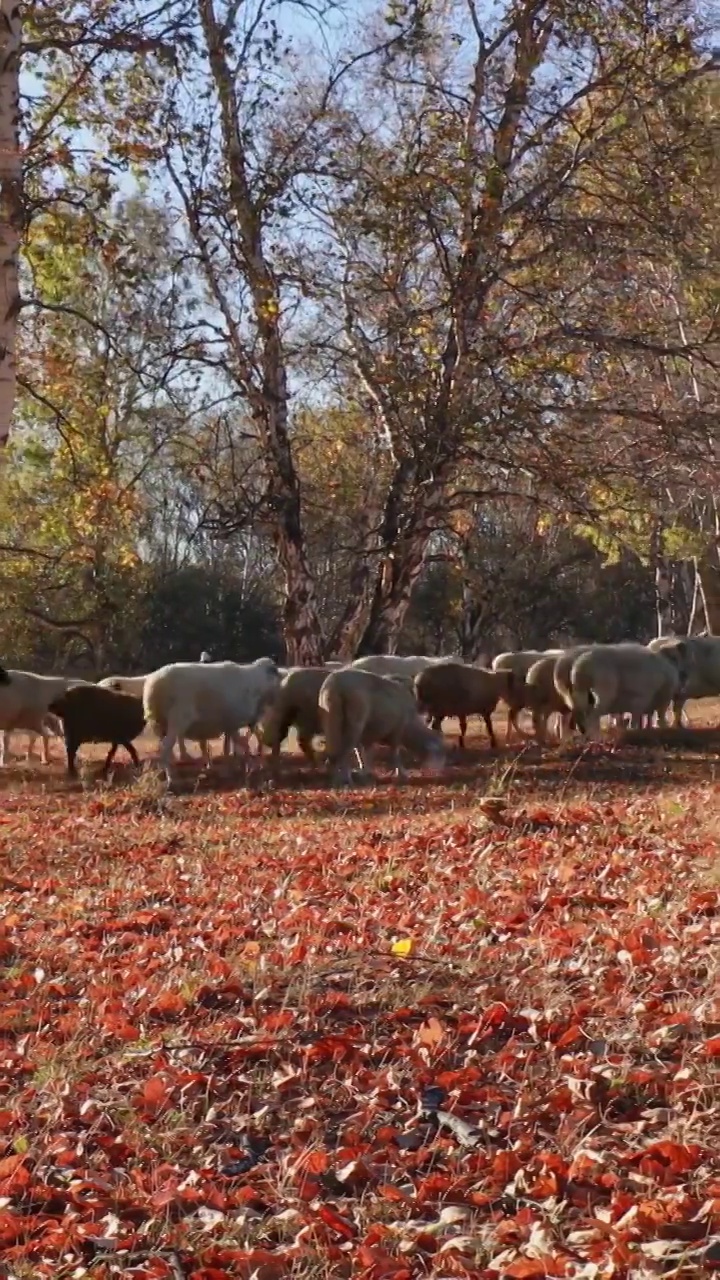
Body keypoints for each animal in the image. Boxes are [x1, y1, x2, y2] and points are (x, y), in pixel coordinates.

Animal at [142, 665, 280, 773]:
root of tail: (152, 684)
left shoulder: (229, 723)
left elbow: (228, 746)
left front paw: (230, 766)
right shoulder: (234, 722)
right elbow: (242, 744)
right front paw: (252, 765)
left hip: (158, 724)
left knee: (163, 747)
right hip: (177, 720)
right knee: (166, 747)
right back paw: (171, 778)